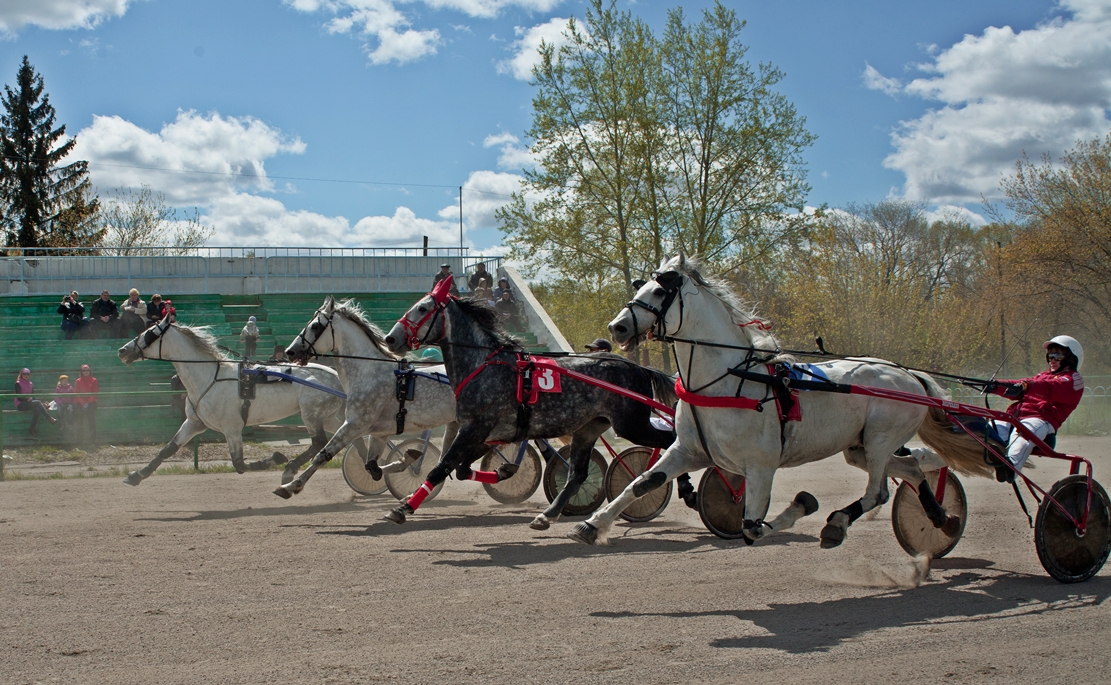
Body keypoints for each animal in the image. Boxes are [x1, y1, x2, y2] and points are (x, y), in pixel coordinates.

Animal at [119, 315, 348, 486]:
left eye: (149, 333)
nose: (123, 350)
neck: (209, 378)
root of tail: (335, 377)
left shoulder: (232, 427)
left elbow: (239, 464)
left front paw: (276, 458)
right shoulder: (194, 423)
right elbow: (168, 449)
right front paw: (136, 475)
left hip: (310, 413)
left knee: (318, 442)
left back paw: (289, 469)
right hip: (326, 417)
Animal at [271, 293, 457, 497]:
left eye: (315, 326)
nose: (290, 351)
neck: (369, 372)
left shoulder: (354, 424)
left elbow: (323, 454)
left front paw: (291, 486)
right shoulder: (380, 433)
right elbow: (373, 468)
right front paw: (407, 458)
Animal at [382, 276, 675, 528]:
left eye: (422, 308)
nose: (390, 338)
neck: (484, 365)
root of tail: (638, 367)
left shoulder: (474, 428)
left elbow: (441, 467)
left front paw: (402, 508)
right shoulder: (485, 434)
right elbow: (463, 469)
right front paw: (503, 471)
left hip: (632, 424)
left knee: (671, 441)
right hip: (589, 428)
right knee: (577, 475)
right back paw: (547, 515)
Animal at [568, 254, 959, 548]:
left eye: (661, 291)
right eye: (643, 287)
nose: (617, 327)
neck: (727, 380)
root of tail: (910, 375)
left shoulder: (760, 465)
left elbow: (752, 526)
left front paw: (804, 503)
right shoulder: (689, 450)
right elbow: (641, 483)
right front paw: (593, 524)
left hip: (880, 438)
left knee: (878, 492)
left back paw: (837, 523)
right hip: (857, 447)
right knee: (911, 468)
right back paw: (941, 517)